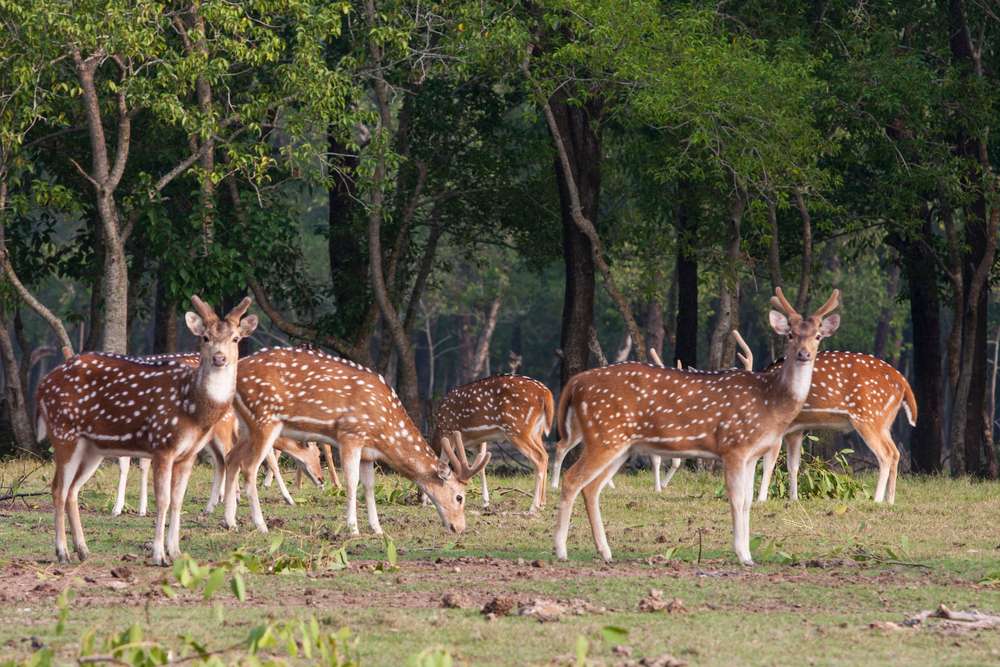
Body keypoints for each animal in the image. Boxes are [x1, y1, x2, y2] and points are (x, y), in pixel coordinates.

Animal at [35, 296, 257, 565]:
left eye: (235, 338)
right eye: (205, 337)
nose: (219, 358)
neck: (193, 408)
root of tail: (42, 385)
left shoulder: (188, 454)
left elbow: (177, 500)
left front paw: (176, 552)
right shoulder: (163, 445)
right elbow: (162, 501)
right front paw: (159, 555)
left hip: (91, 449)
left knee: (72, 490)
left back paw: (83, 550)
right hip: (64, 433)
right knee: (58, 488)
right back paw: (62, 552)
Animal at [221, 347, 489, 537]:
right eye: (459, 497)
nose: (459, 528)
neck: (383, 432)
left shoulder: (369, 452)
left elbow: (369, 487)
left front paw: (377, 529)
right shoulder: (351, 435)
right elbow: (351, 482)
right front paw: (353, 528)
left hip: (246, 425)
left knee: (231, 458)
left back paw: (231, 522)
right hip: (265, 418)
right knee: (249, 467)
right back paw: (261, 525)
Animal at [431, 375, 554, 513]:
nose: (420, 498)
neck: (438, 429)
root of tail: (546, 393)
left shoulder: (449, 431)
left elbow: (443, 463)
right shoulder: (479, 441)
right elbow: (481, 467)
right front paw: (485, 502)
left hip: (517, 429)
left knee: (539, 457)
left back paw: (533, 507)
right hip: (536, 432)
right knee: (545, 455)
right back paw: (543, 503)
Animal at [553, 288, 840, 565]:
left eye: (817, 336)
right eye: (791, 335)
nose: (804, 354)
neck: (770, 402)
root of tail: (576, 382)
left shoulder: (752, 454)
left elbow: (748, 501)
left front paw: (748, 554)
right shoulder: (734, 446)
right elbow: (737, 499)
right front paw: (742, 555)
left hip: (620, 446)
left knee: (591, 488)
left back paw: (605, 552)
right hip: (603, 435)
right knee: (572, 480)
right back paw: (561, 550)